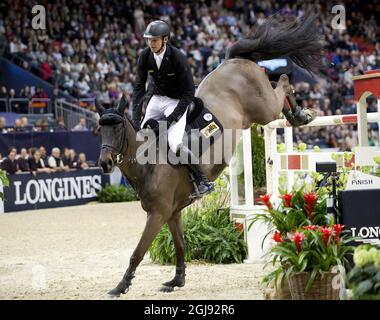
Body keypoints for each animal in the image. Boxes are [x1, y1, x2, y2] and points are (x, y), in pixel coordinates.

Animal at [95, 12, 324, 298]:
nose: (105, 163)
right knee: (276, 84)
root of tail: (231, 61)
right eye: (99, 130)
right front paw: (177, 280)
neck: (148, 165)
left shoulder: (157, 214)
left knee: (281, 83)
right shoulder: (172, 212)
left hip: (264, 110)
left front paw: (121, 286)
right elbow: (181, 246)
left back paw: (301, 114)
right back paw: (297, 115)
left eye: (116, 130)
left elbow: (137, 252)